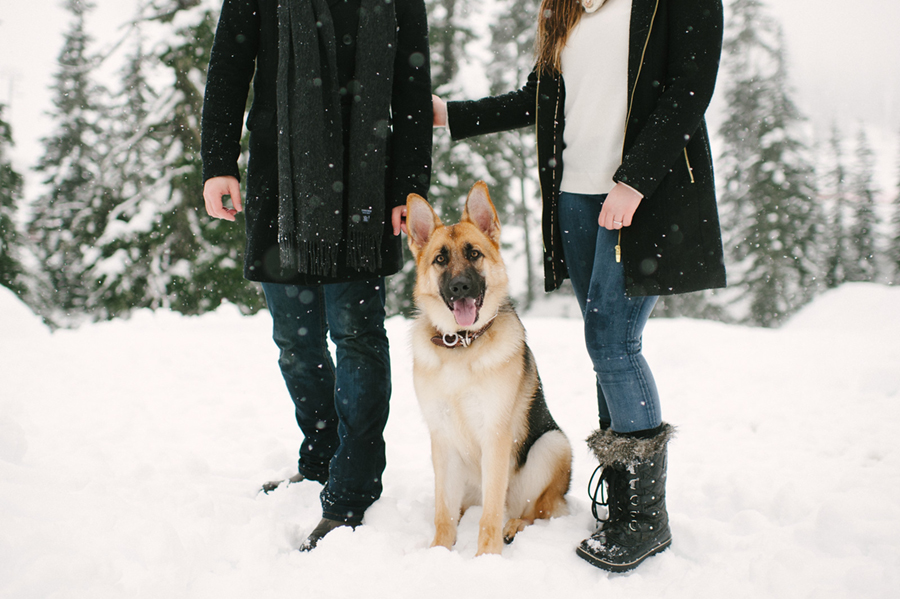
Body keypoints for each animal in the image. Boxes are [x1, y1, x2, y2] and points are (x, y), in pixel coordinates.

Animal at [406, 183, 572, 556]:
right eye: (440, 259)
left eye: (474, 254)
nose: (460, 287)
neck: (461, 345)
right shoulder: (441, 438)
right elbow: (442, 513)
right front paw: (439, 552)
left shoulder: (495, 435)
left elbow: (492, 513)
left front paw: (487, 557)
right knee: (460, 508)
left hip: (552, 445)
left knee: (531, 512)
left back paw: (513, 527)